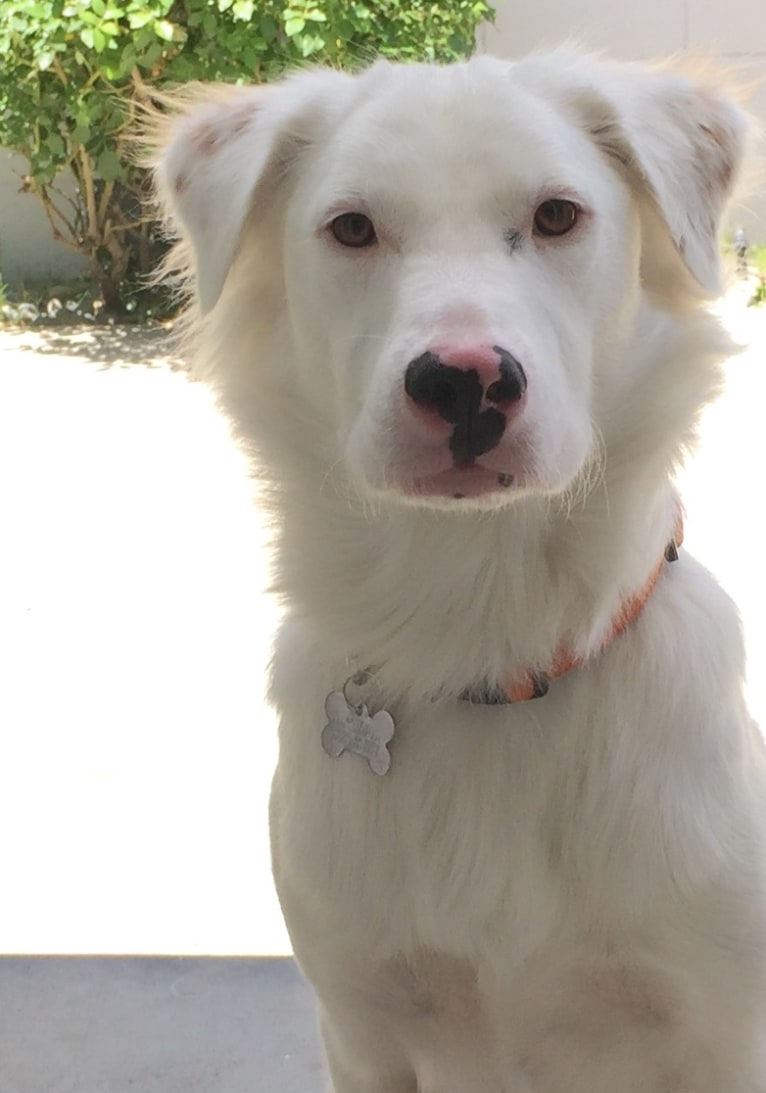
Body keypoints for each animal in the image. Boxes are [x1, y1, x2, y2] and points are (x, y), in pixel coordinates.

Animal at [151, 46, 764, 1088]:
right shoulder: (361, 1030)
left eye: (557, 215)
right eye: (352, 228)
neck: (480, 638)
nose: (465, 382)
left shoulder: (724, 1033)